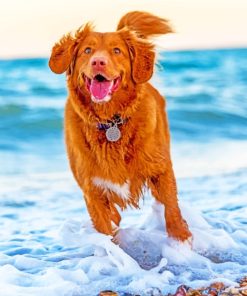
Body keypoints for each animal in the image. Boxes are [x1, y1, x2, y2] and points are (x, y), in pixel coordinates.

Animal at [47, 11, 191, 243]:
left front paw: (182, 239)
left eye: (116, 50)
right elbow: (106, 228)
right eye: (87, 50)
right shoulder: (92, 190)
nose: (98, 61)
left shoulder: (161, 169)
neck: (111, 122)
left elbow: (172, 209)